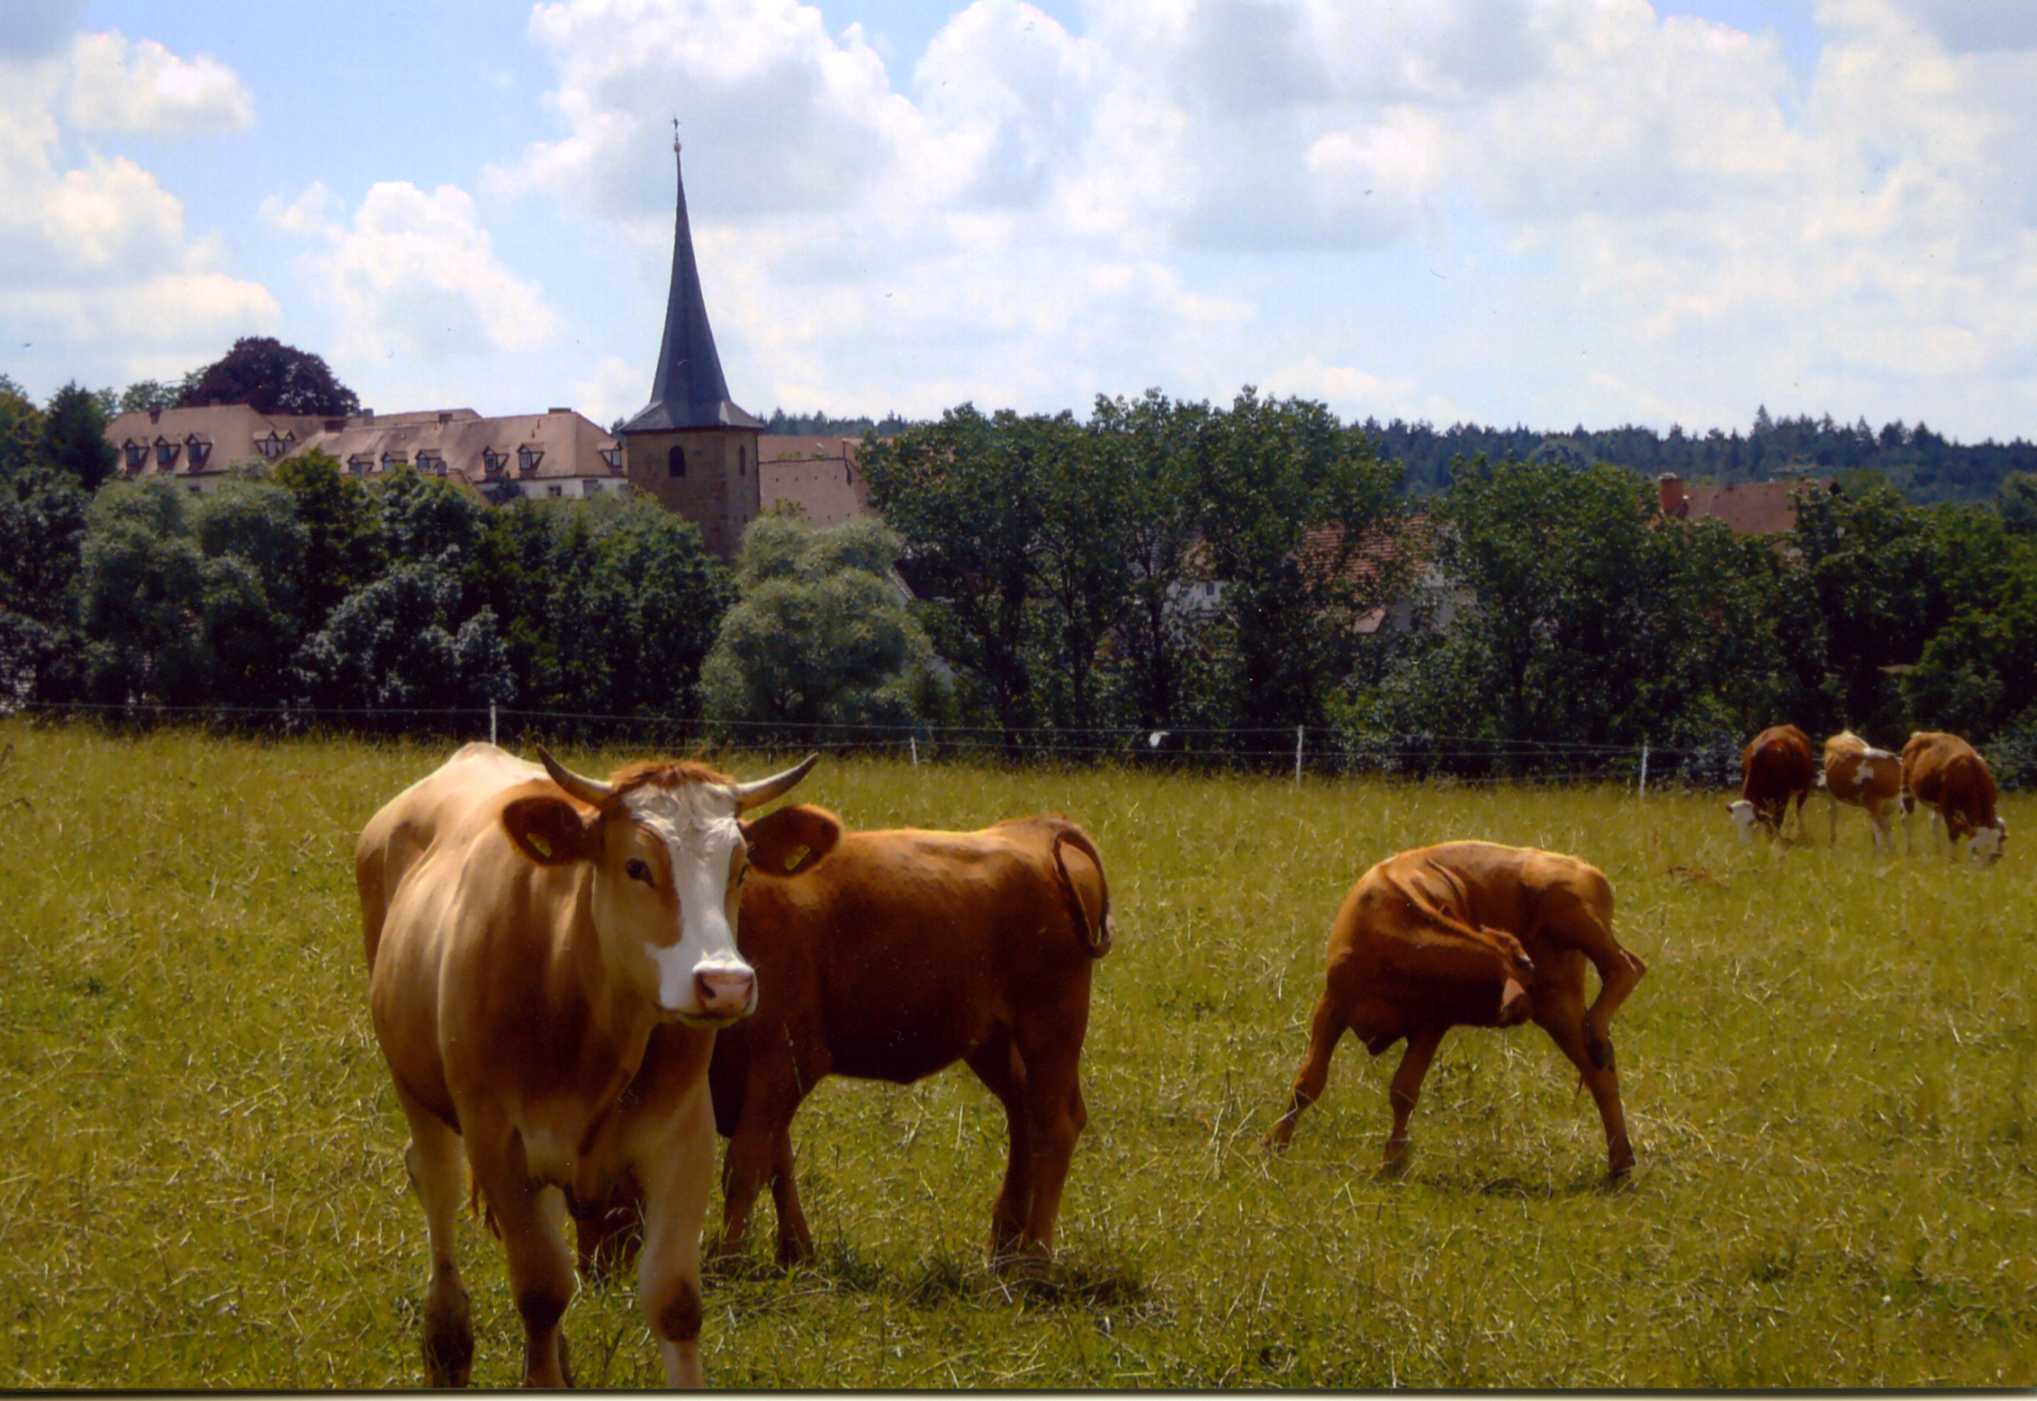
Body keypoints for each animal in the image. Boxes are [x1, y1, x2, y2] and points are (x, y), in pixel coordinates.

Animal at [574, 806, 1116, 1278]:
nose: (593, 1273)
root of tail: (1038, 830)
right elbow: (779, 1161)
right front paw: (795, 1252)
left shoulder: (788, 1058)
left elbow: (746, 1165)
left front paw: (728, 1259)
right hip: (994, 1043)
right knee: (1024, 1118)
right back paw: (1005, 1248)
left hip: (1050, 1027)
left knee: (1056, 1123)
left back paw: (1036, 1258)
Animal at [1262, 843, 1645, 1181]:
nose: (1530, 1000)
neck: (1397, 932)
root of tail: (1585, 867)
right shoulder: (1333, 1005)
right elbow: (1309, 1081)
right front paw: (1274, 1146)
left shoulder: (1432, 1024)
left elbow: (1403, 1091)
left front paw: (1391, 1162)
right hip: (1562, 995)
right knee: (1599, 1071)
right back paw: (1620, 1162)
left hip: (1570, 922)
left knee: (1627, 968)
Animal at [1890, 733, 2004, 863]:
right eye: (1976, 850)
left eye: (1995, 857)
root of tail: (1922, 734)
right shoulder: (1947, 806)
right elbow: (1953, 832)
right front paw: (1953, 861)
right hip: (1906, 789)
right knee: (1907, 820)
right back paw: (1909, 851)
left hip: (1936, 804)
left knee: (1934, 824)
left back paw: (1938, 851)